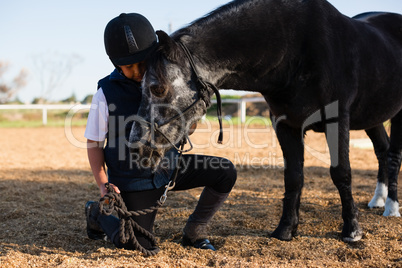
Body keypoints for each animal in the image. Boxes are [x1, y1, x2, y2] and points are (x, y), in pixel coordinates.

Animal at [130, 0, 402, 242]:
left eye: (157, 88)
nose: (136, 147)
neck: (298, 47)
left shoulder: (337, 120)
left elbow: (341, 172)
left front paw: (352, 230)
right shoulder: (285, 125)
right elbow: (293, 176)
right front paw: (285, 230)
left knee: (392, 155)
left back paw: (391, 207)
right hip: (372, 118)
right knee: (382, 150)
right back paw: (378, 200)